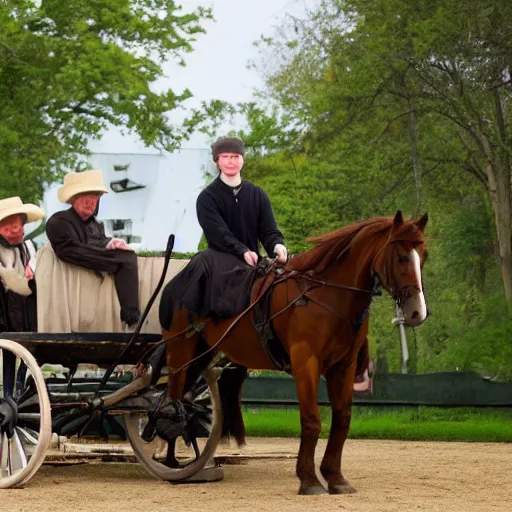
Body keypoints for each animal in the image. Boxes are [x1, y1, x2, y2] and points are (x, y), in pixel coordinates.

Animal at [163, 210, 428, 494]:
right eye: (401, 257)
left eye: (423, 256)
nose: (417, 312)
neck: (327, 294)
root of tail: (180, 279)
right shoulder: (306, 364)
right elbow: (312, 420)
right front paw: (309, 479)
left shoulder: (342, 367)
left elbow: (342, 419)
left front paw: (334, 477)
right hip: (180, 351)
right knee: (172, 398)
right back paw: (170, 458)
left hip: (202, 354)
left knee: (185, 397)